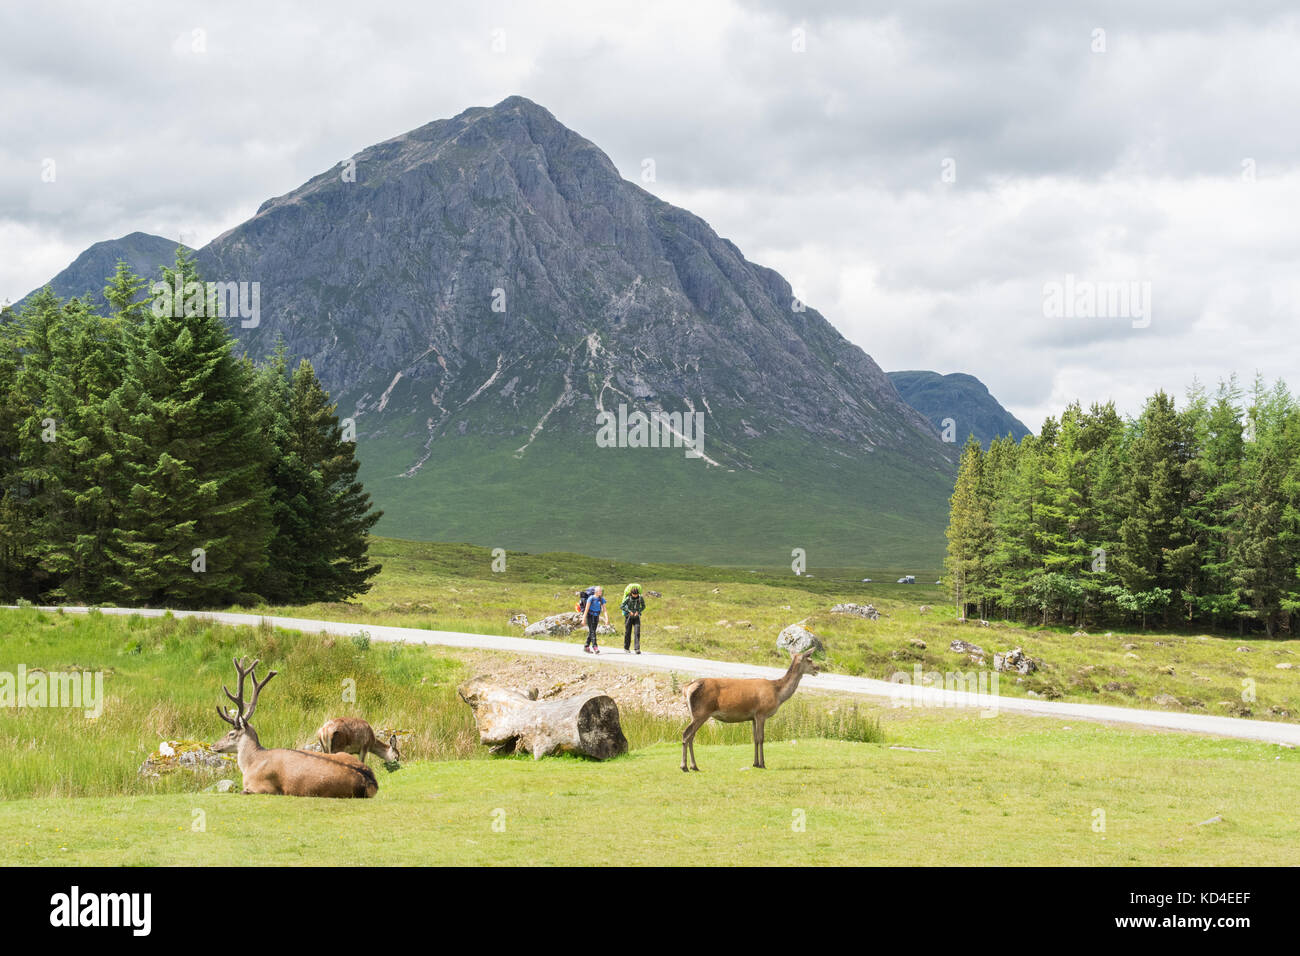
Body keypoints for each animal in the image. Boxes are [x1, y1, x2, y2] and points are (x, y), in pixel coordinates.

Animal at [210, 658, 379, 801]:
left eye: (231, 733)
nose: (213, 745)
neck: (250, 763)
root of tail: (371, 781)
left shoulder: (265, 787)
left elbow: (243, 791)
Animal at [686, 647, 816, 775]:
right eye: (809, 659)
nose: (817, 668)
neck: (778, 694)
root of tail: (689, 687)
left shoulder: (753, 717)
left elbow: (755, 739)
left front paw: (755, 763)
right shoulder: (761, 713)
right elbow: (761, 738)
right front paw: (762, 764)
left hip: (694, 714)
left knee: (691, 735)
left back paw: (693, 766)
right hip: (702, 712)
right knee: (687, 734)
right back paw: (686, 767)